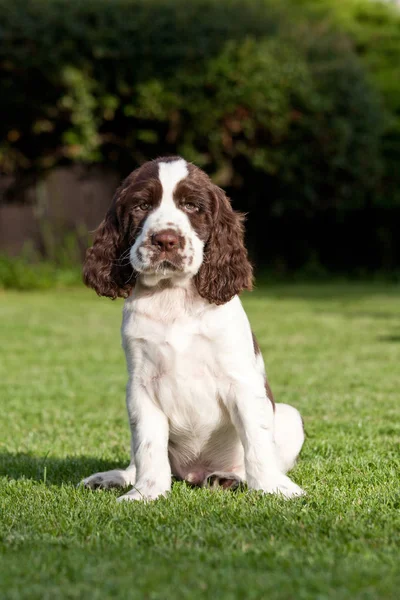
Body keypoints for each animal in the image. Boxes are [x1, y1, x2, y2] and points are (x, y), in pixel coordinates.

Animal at [83, 157, 304, 500]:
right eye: (141, 205)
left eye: (191, 205)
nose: (165, 240)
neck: (173, 296)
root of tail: (193, 473)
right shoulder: (141, 386)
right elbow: (148, 446)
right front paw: (145, 494)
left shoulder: (241, 380)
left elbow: (256, 440)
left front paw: (273, 487)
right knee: (137, 459)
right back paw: (115, 477)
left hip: (290, 416)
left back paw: (229, 478)